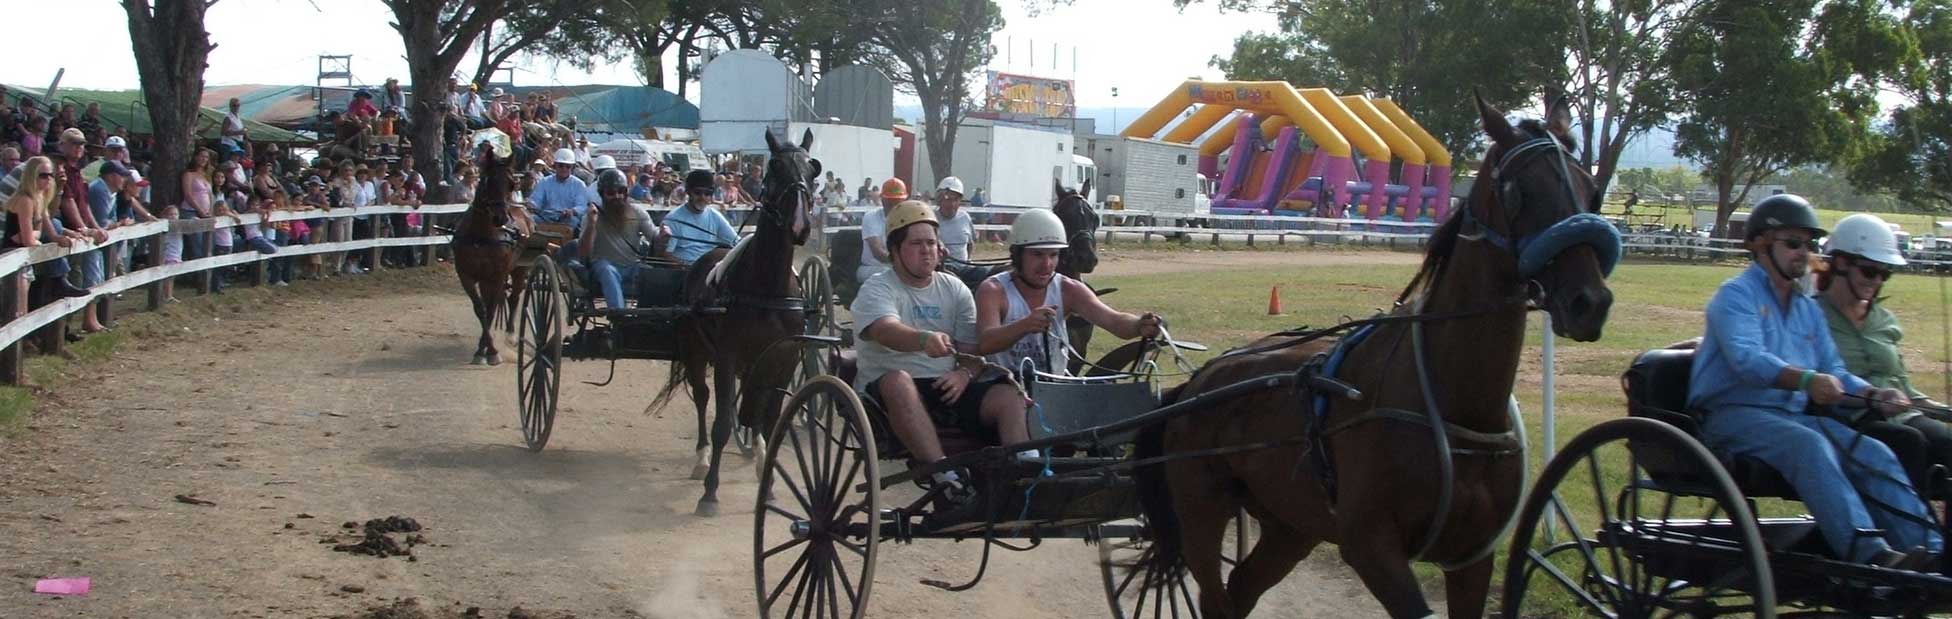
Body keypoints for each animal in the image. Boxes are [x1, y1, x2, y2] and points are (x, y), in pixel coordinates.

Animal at [450, 147, 523, 363]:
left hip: (520, 270)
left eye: (511, 184)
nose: (500, 218)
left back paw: (510, 335)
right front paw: (482, 350)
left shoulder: (497, 275)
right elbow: (481, 309)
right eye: (488, 181)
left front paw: (491, 351)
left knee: (514, 298)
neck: (481, 235)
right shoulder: (466, 275)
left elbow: (490, 309)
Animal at [648, 127, 815, 511]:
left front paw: (768, 481)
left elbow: (770, 420)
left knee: (752, 409)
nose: (800, 225)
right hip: (695, 351)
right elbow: (722, 422)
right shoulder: (726, 356)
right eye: (774, 168)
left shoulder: (784, 358)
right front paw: (710, 491)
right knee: (702, 397)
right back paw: (701, 459)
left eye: (813, 169)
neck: (766, 288)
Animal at [1132, 92, 1616, 617]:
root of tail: (1199, 381)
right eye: (1519, 192)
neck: (1452, 402)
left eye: (1592, 190)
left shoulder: (1471, 557)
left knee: (1241, 588)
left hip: (1290, 523)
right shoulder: (1372, 549)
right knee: (1215, 591)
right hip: (1202, 505)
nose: (1588, 302)